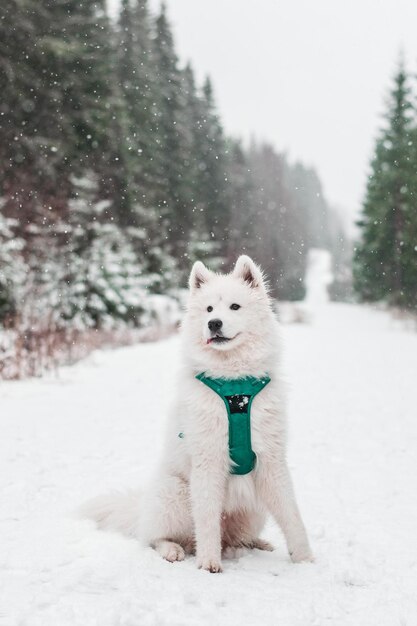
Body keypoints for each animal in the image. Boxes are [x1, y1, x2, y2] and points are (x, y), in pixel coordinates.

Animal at [84, 254, 312, 572]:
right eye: (208, 309)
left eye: (234, 307)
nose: (213, 323)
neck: (234, 387)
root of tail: (140, 510)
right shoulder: (208, 459)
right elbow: (205, 520)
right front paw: (208, 563)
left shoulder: (271, 461)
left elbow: (292, 515)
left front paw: (305, 559)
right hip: (175, 494)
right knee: (155, 538)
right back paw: (172, 550)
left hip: (254, 507)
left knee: (235, 537)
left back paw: (256, 543)